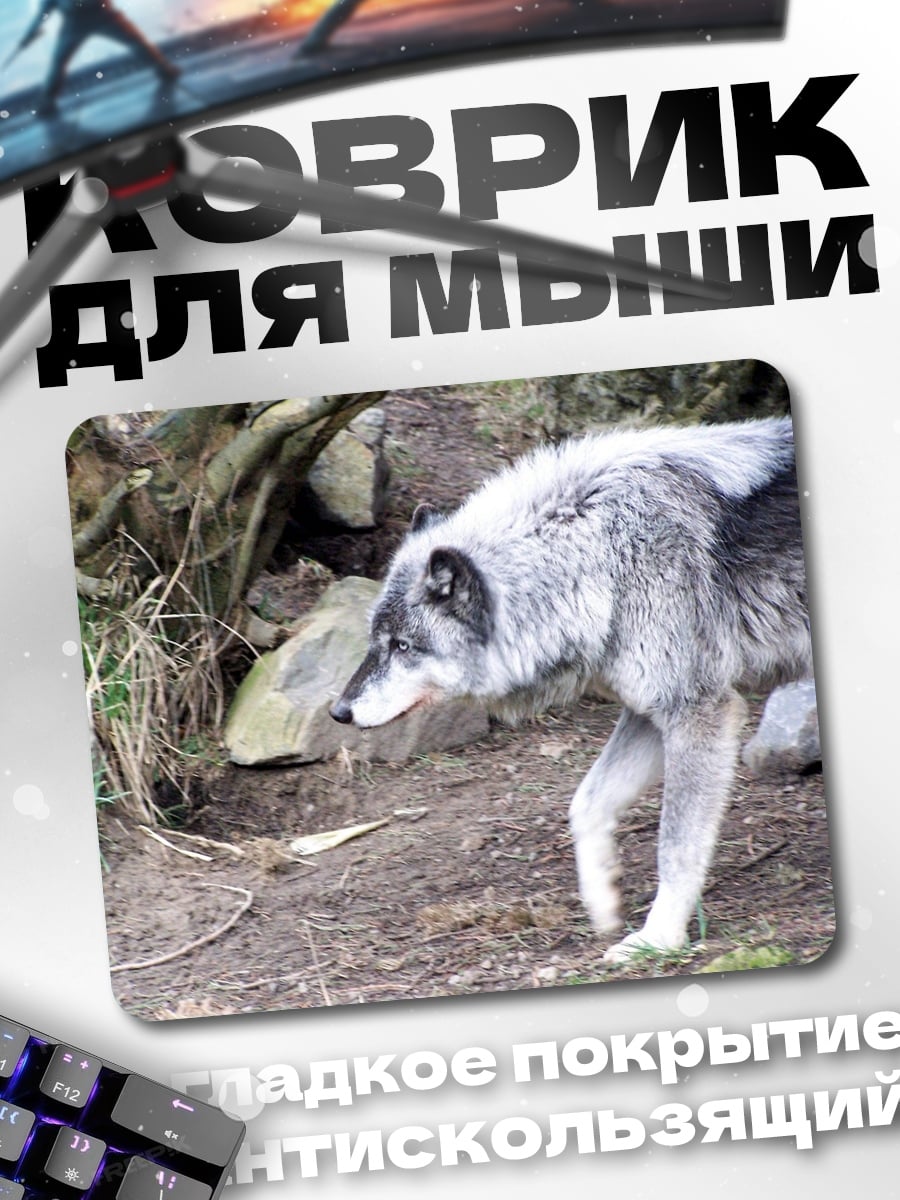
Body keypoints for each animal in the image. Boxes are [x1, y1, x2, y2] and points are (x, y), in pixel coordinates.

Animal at [330, 417, 812, 961]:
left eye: (403, 646)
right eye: (377, 641)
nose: (339, 712)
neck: (605, 551)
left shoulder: (697, 711)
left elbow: (676, 845)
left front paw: (657, 938)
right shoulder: (647, 711)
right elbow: (586, 803)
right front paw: (603, 897)